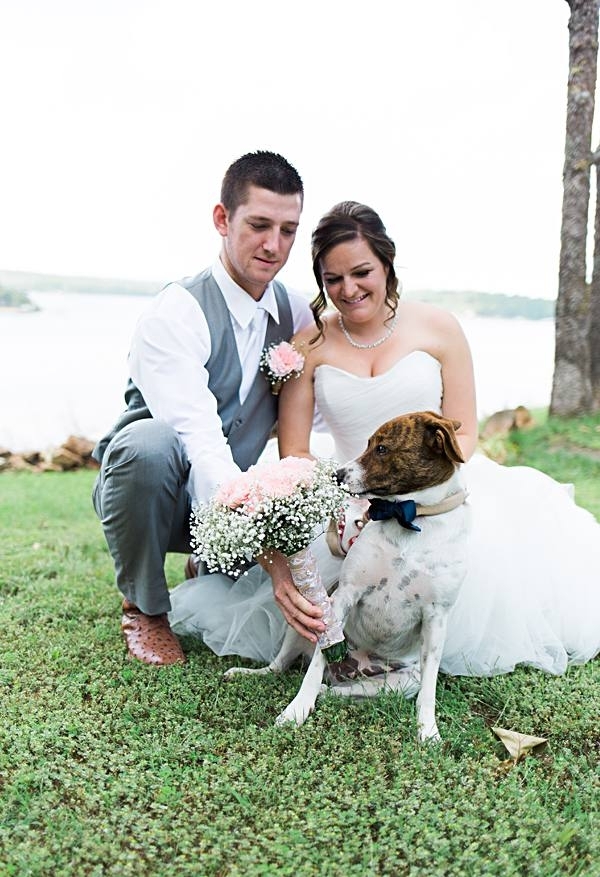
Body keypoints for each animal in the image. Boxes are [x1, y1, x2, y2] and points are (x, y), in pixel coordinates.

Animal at [224, 408, 468, 740]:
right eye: (368, 444)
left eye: (382, 448)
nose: (336, 475)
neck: (408, 517)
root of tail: (351, 667)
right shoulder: (342, 598)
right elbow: (314, 668)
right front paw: (295, 711)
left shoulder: (436, 618)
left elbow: (428, 691)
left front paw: (428, 731)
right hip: (300, 627)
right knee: (279, 667)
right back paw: (248, 673)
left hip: (399, 682)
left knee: (342, 691)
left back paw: (331, 690)